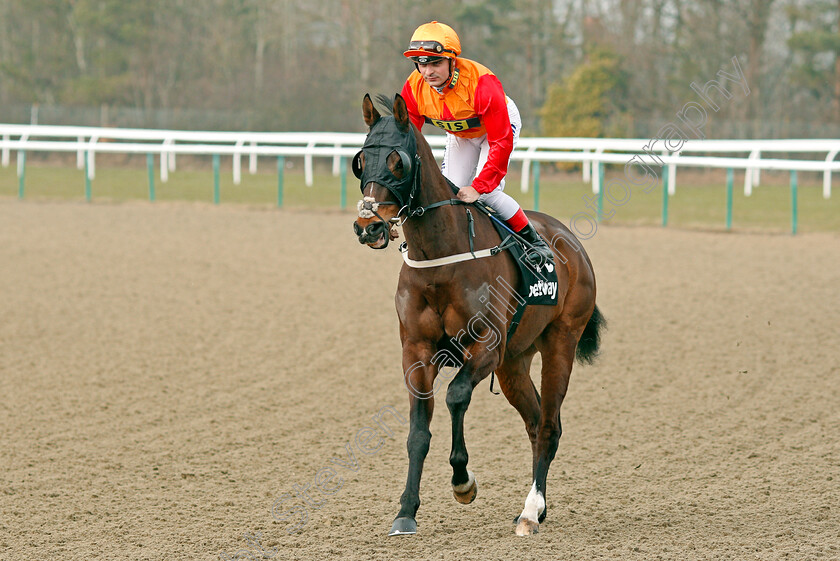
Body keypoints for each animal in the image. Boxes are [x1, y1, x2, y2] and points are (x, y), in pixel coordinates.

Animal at [352, 94, 600, 536]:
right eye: (362, 159)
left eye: (398, 162)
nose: (369, 227)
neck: (441, 258)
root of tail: (570, 243)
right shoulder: (416, 351)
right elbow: (418, 431)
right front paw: (406, 511)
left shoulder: (486, 346)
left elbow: (456, 396)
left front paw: (462, 481)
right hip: (515, 362)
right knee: (535, 421)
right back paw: (538, 507)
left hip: (560, 342)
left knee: (549, 425)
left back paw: (529, 512)